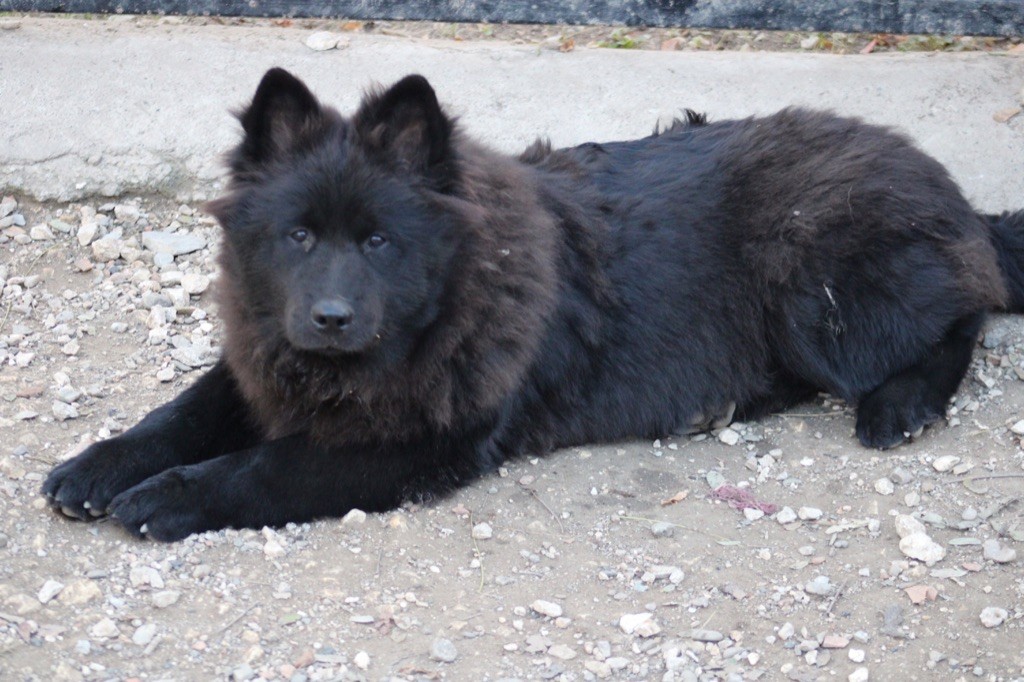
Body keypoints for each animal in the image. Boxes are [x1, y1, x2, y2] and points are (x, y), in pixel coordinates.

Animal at [44, 67, 1024, 536]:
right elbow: (180, 413)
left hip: (812, 286)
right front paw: (99, 465)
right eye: (299, 238)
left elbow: (262, 468)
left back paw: (901, 404)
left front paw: (168, 497)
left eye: (379, 242)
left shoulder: (413, 440)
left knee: (963, 310)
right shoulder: (265, 356)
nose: (330, 320)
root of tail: (940, 183)